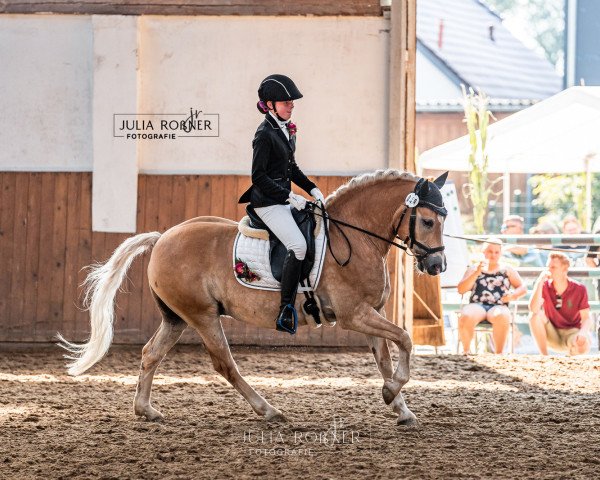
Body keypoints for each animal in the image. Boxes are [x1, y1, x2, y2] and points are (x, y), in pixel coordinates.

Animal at [58, 169, 448, 424]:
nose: (437, 264)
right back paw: (269, 410)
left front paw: (400, 407)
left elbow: (385, 358)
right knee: (224, 364)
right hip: (202, 316)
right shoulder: (355, 315)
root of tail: (161, 238)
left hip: (177, 317)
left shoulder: (371, 312)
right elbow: (405, 339)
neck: (354, 237)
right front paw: (392, 393)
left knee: (150, 354)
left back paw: (146, 410)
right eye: (428, 221)